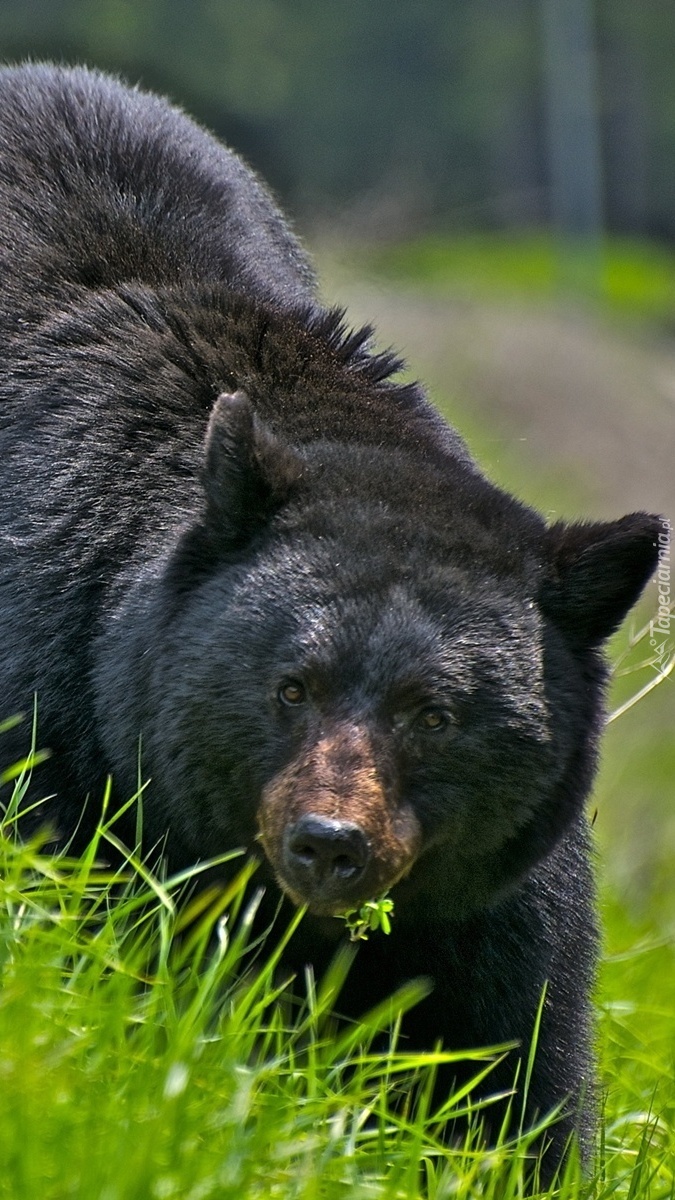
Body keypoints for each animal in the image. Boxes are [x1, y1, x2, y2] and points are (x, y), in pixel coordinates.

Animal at [0, 63, 662, 1171]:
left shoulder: (485, 899)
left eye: (436, 715)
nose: (328, 843)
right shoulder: (56, 721)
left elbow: (514, 1056)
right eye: (289, 687)